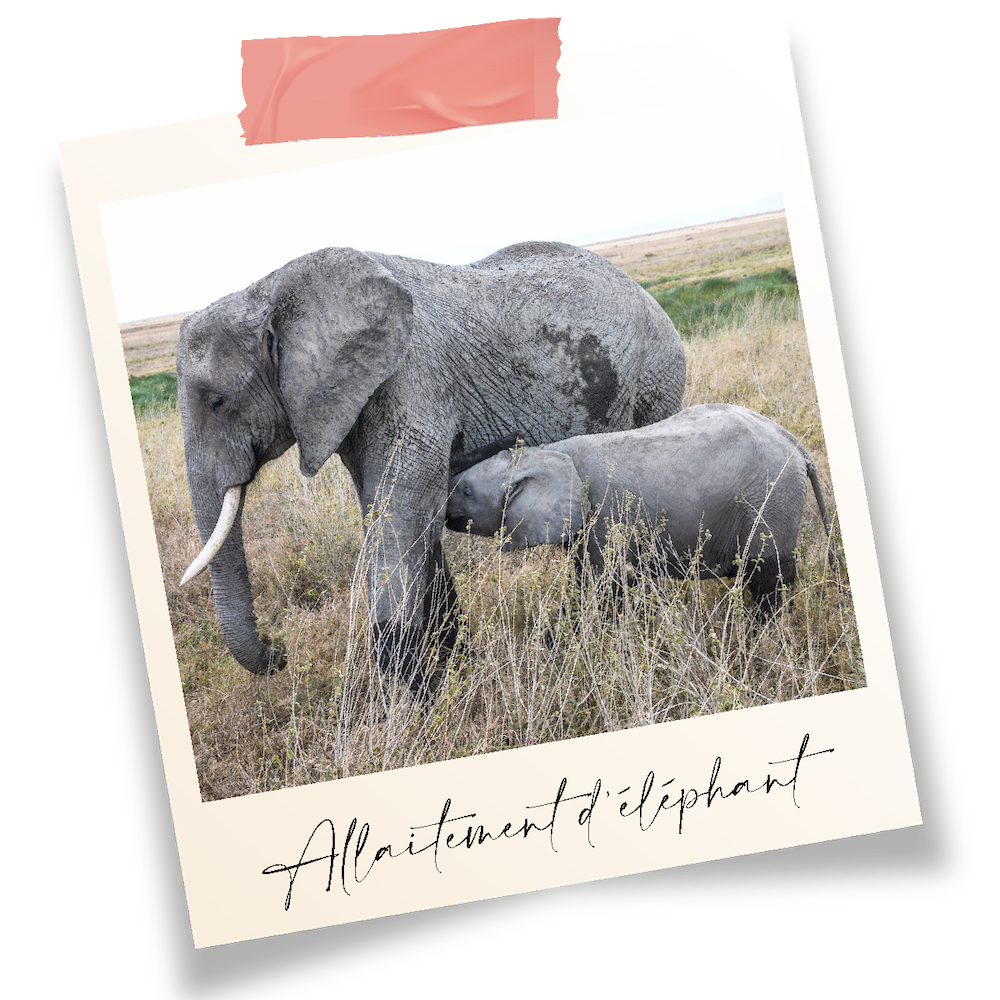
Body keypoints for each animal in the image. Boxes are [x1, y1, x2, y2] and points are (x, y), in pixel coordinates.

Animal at [176, 241, 686, 691]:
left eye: (217, 401)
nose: (280, 649)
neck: (269, 289)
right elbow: (401, 517)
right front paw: (458, 670)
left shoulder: (410, 381)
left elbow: (399, 516)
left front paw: (414, 706)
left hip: (656, 379)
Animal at [445, 403, 833, 617]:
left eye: (466, 491)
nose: (445, 513)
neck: (551, 452)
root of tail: (795, 445)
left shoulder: (605, 518)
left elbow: (604, 589)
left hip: (770, 498)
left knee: (769, 579)